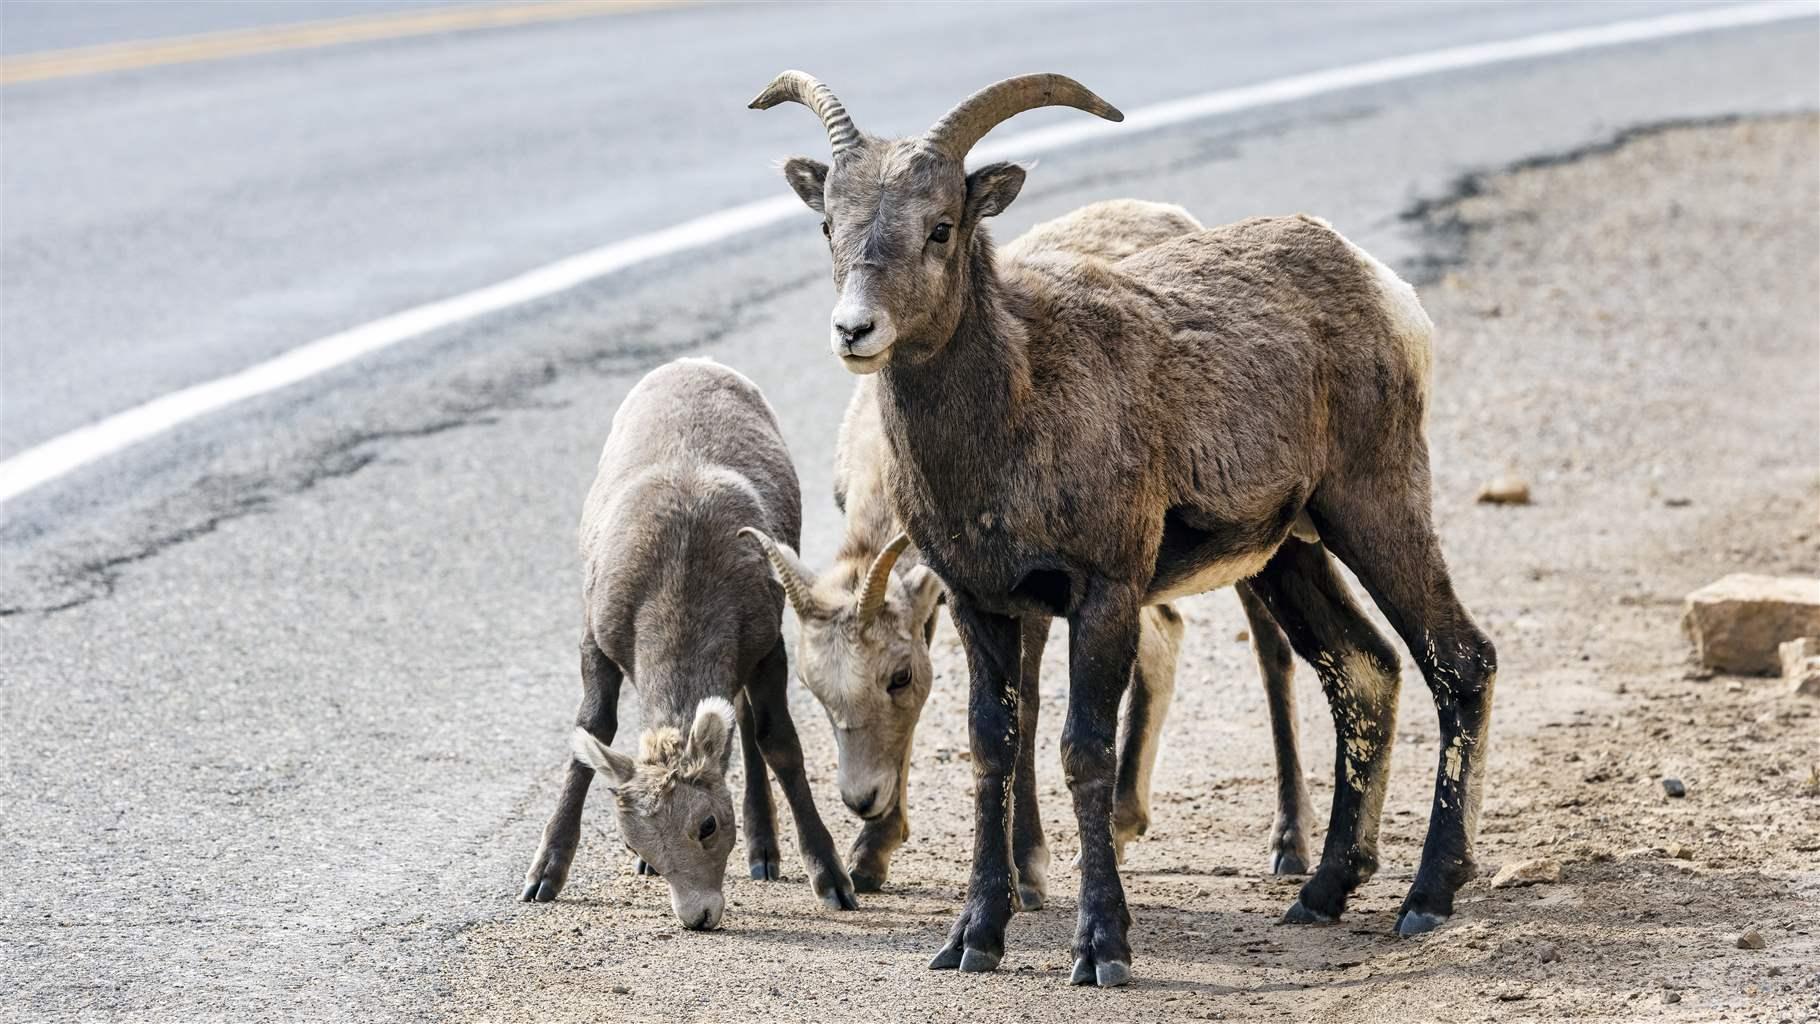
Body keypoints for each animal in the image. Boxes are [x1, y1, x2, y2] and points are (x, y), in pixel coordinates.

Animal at [520, 358, 859, 931]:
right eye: (635, 841)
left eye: (707, 825)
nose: (697, 916)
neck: (678, 577)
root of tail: (693, 363)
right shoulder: (596, 643)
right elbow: (592, 728)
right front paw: (544, 875)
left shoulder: (768, 646)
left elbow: (779, 743)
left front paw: (832, 880)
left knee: (744, 722)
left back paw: (765, 853)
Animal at [742, 198, 1324, 898]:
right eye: (814, 688)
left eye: (898, 679)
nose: (862, 799)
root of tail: (1173, 217)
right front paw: (871, 856)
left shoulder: (1031, 592)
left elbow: (1027, 710)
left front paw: (1028, 867)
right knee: (1163, 638)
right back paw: (1123, 823)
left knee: (1271, 652)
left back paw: (1289, 844)